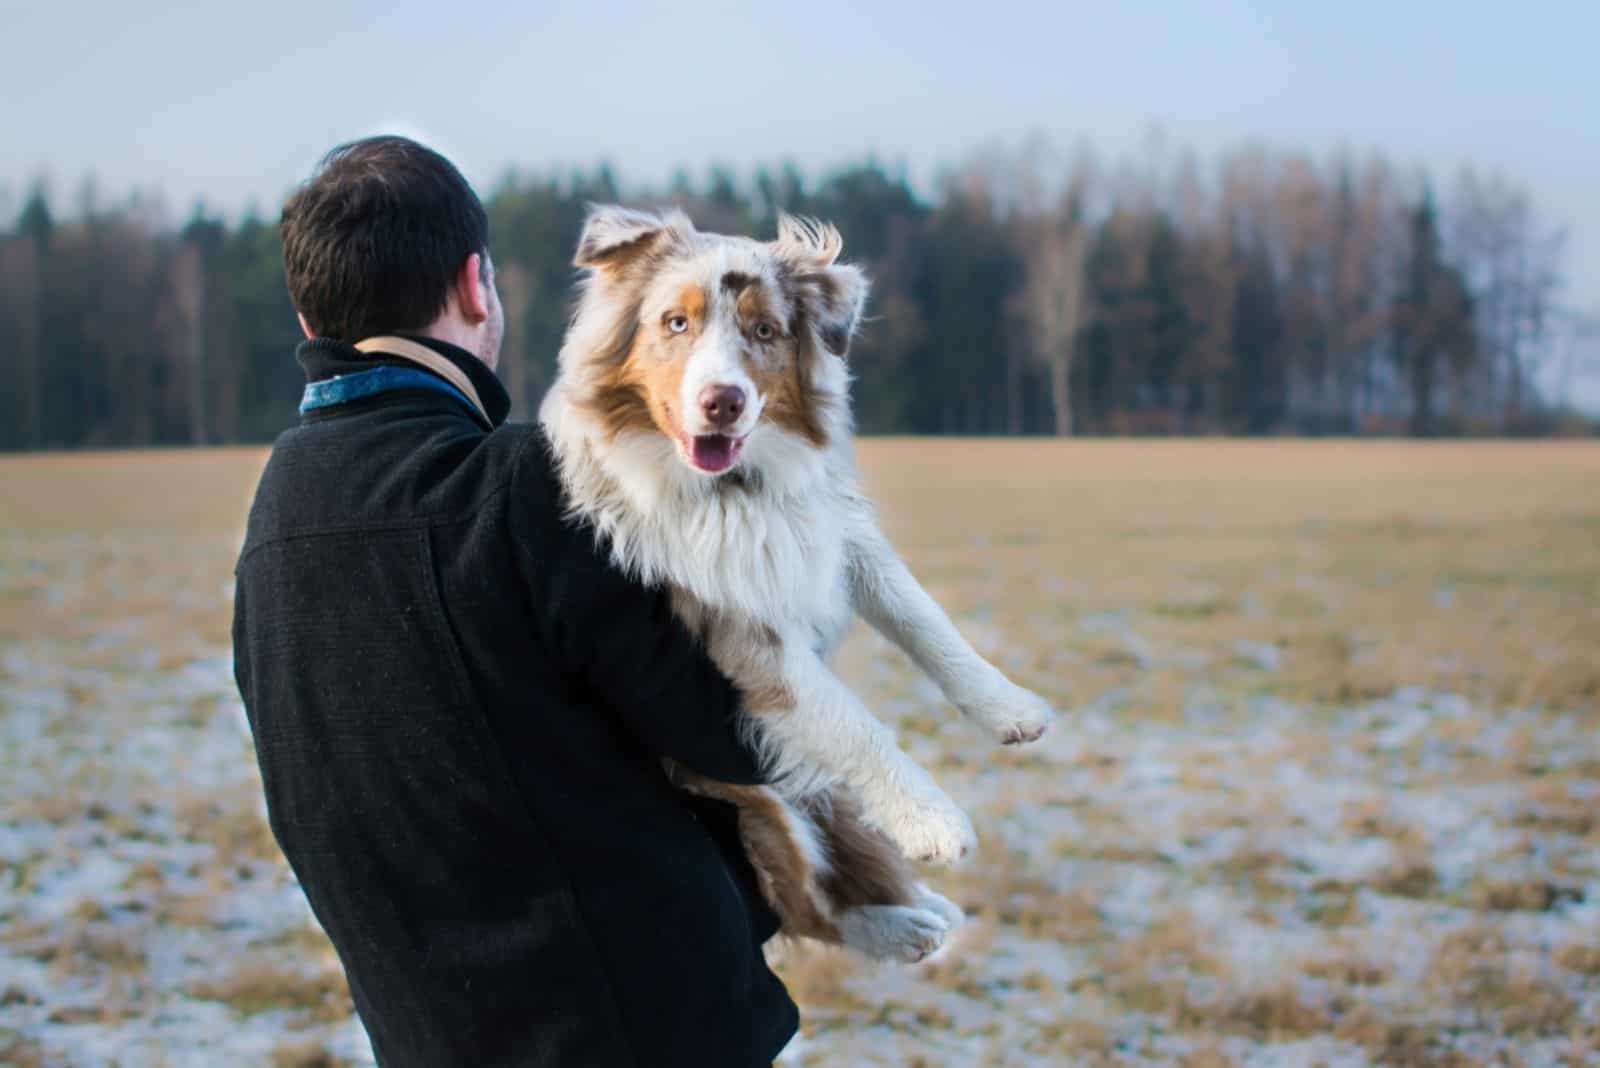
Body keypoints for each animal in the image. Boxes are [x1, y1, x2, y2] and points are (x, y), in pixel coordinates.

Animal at [544, 206, 1056, 959]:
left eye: (764, 331)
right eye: (675, 322)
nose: (723, 402)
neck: (737, 490)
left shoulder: (837, 534)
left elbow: (924, 618)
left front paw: (1009, 706)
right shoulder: (742, 631)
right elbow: (850, 719)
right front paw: (934, 820)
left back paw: (920, 914)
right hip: (764, 799)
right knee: (806, 904)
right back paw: (903, 928)